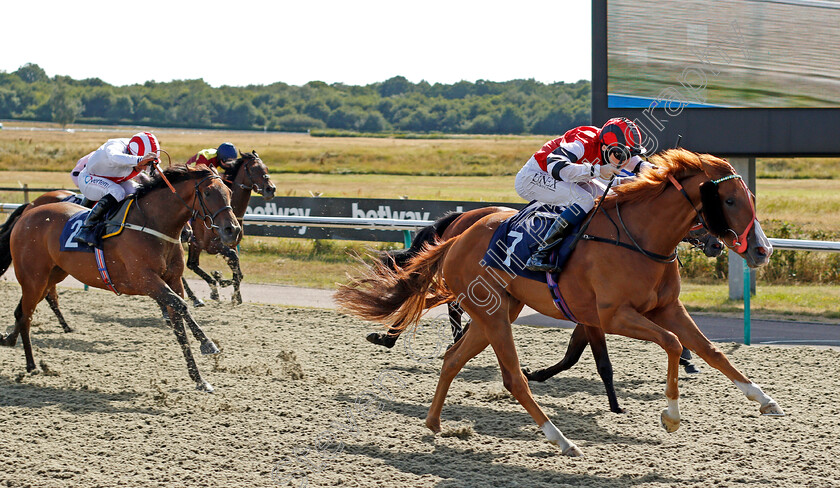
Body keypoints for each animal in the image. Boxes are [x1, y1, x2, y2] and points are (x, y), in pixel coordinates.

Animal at [0, 168, 243, 392]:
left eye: (230, 192)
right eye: (208, 193)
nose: (232, 230)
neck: (152, 225)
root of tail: (28, 212)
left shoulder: (172, 280)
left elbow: (178, 322)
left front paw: (199, 379)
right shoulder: (145, 280)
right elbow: (181, 306)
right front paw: (208, 344)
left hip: (53, 274)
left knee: (23, 311)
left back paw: (13, 343)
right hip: (33, 278)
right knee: (27, 315)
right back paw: (31, 365)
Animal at [182, 151, 278, 306]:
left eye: (266, 168)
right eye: (253, 169)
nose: (271, 189)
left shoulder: (229, 244)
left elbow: (237, 269)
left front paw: (235, 296)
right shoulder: (212, 245)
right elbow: (233, 262)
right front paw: (222, 281)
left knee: (191, 264)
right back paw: (196, 296)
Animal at [334, 150, 780, 458]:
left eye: (750, 197)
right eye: (729, 201)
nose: (762, 251)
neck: (639, 237)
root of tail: (458, 236)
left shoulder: (666, 308)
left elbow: (711, 350)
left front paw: (765, 400)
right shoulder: (612, 315)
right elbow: (669, 344)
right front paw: (670, 415)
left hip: (499, 311)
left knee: (453, 358)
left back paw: (433, 422)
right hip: (493, 314)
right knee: (512, 378)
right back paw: (560, 439)